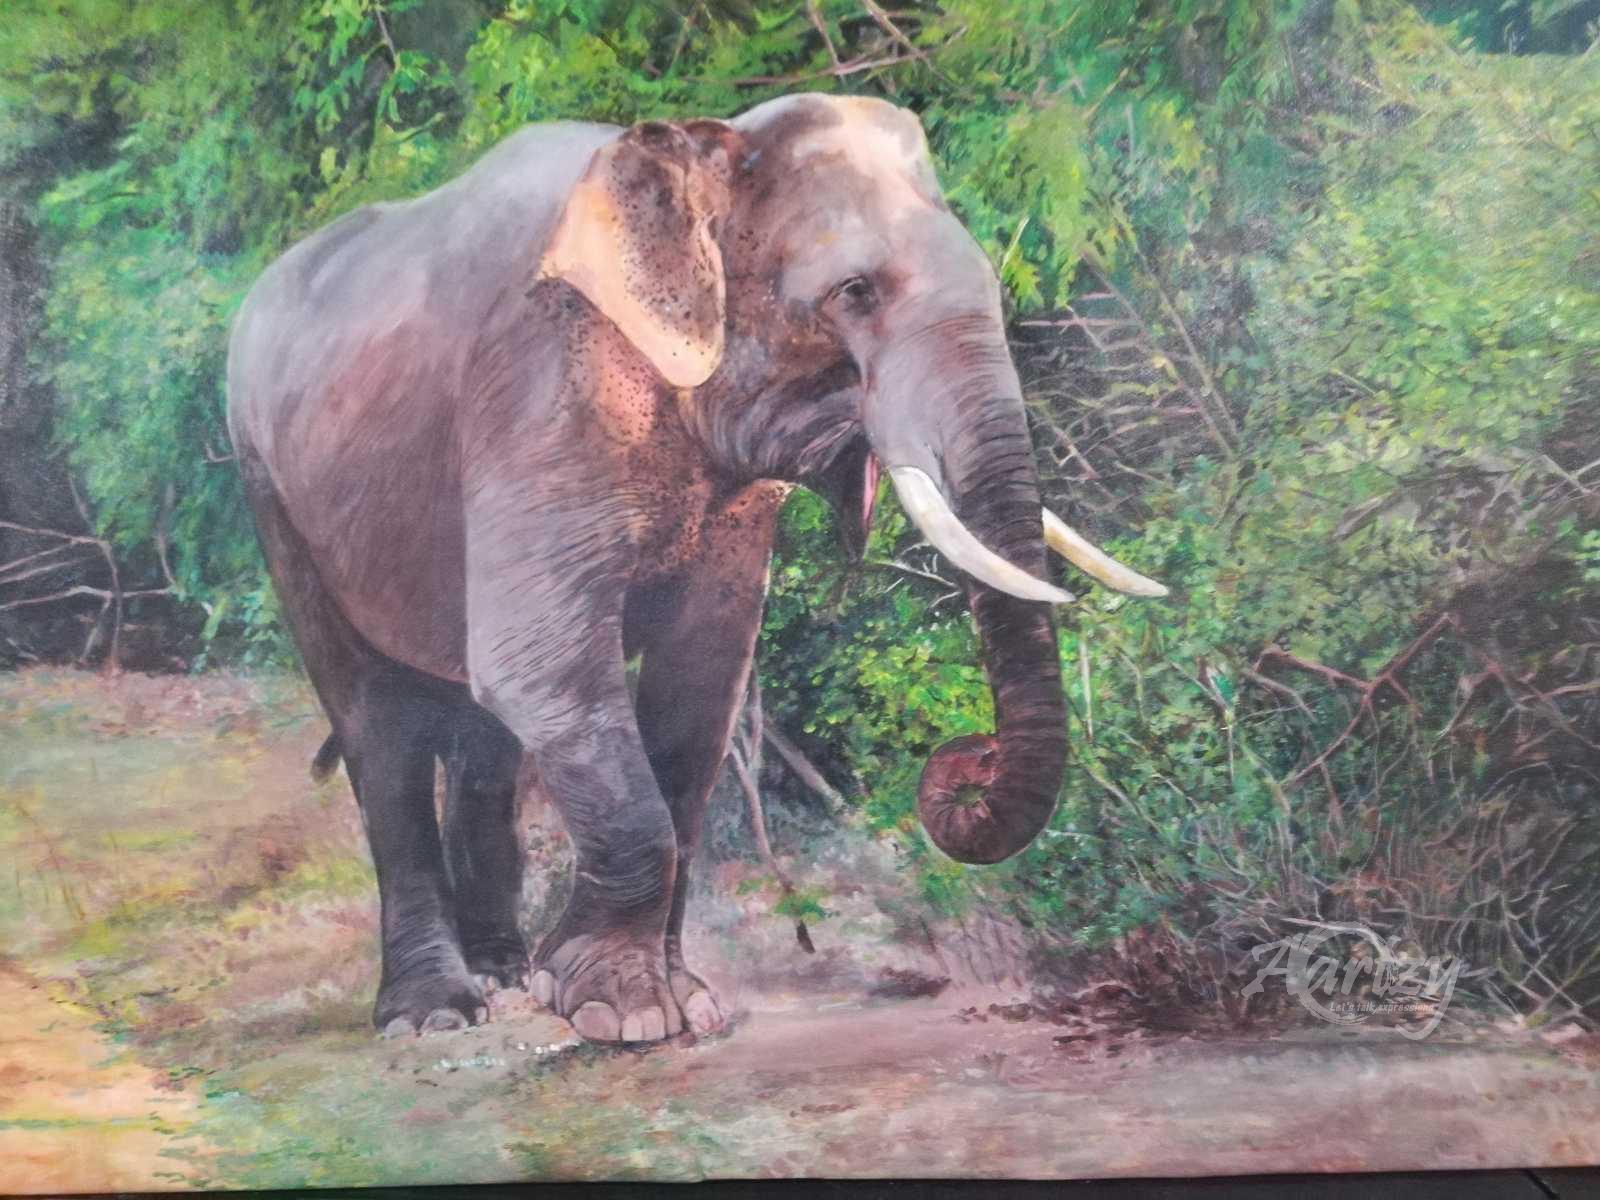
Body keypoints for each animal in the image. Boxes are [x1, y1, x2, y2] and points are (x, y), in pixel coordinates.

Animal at [226, 93, 1166, 1044]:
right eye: (854, 293)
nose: (964, 762)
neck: (698, 153)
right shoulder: (536, 394)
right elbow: (542, 665)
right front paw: (617, 1013)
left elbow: (701, 676)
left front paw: (675, 1003)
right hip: (269, 489)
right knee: (377, 725)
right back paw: (433, 1016)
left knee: (481, 732)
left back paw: (501, 972)